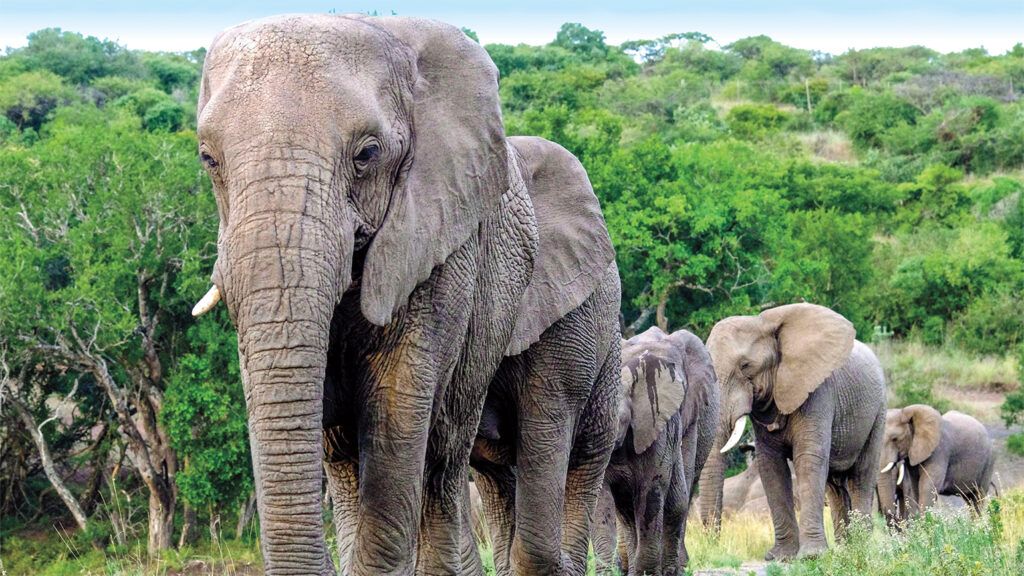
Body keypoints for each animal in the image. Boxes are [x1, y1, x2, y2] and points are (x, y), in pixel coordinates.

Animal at [700, 303, 884, 557]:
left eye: (745, 366)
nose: (714, 547)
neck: (761, 322)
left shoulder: (818, 391)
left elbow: (807, 459)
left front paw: (812, 556)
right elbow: (771, 465)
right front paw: (781, 556)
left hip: (878, 412)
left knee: (862, 476)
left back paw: (861, 547)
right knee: (834, 485)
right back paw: (845, 549)